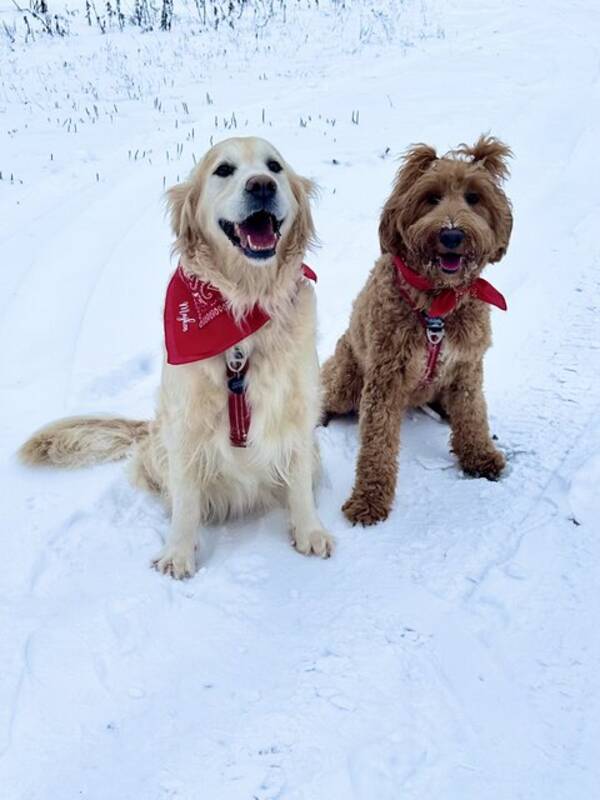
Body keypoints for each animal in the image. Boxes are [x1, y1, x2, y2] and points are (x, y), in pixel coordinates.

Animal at [18, 136, 336, 576]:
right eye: (224, 170)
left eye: (274, 166)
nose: (261, 186)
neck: (244, 303)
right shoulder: (186, 421)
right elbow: (186, 498)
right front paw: (179, 553)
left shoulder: (299, 408)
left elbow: (299, 479)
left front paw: (309, 531)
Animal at [322, 134, 512, 524]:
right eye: (431, 197)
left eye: (474, 197)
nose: (452, 234)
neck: (437, 303)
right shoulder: (385, 376)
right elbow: (377, 442)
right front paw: (369, 500)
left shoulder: (467, 367)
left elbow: (473, 414)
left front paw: (480, 456)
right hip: (346, 380)